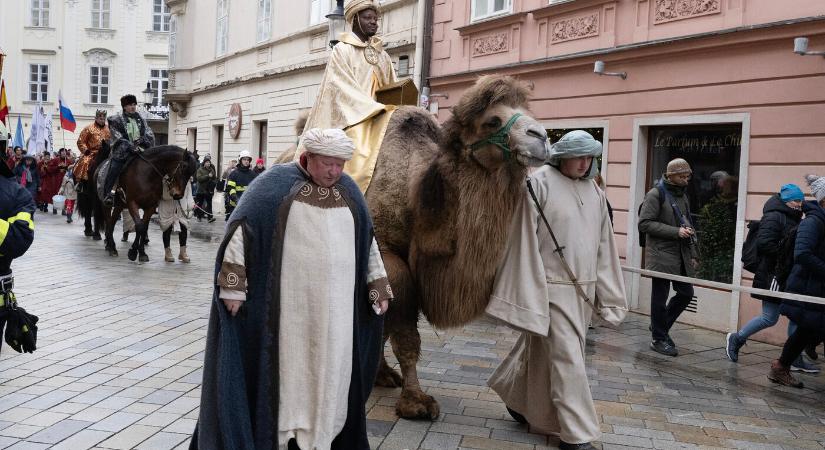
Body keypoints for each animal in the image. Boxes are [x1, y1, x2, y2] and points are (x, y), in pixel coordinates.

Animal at [280, 74, 552, 418]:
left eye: (526, 110)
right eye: (492, 120)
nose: (541, 137)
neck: (418, 197)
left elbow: (385, 326)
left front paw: (383, 377)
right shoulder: (388, 258)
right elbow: (404, 334)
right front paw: (416, 403)